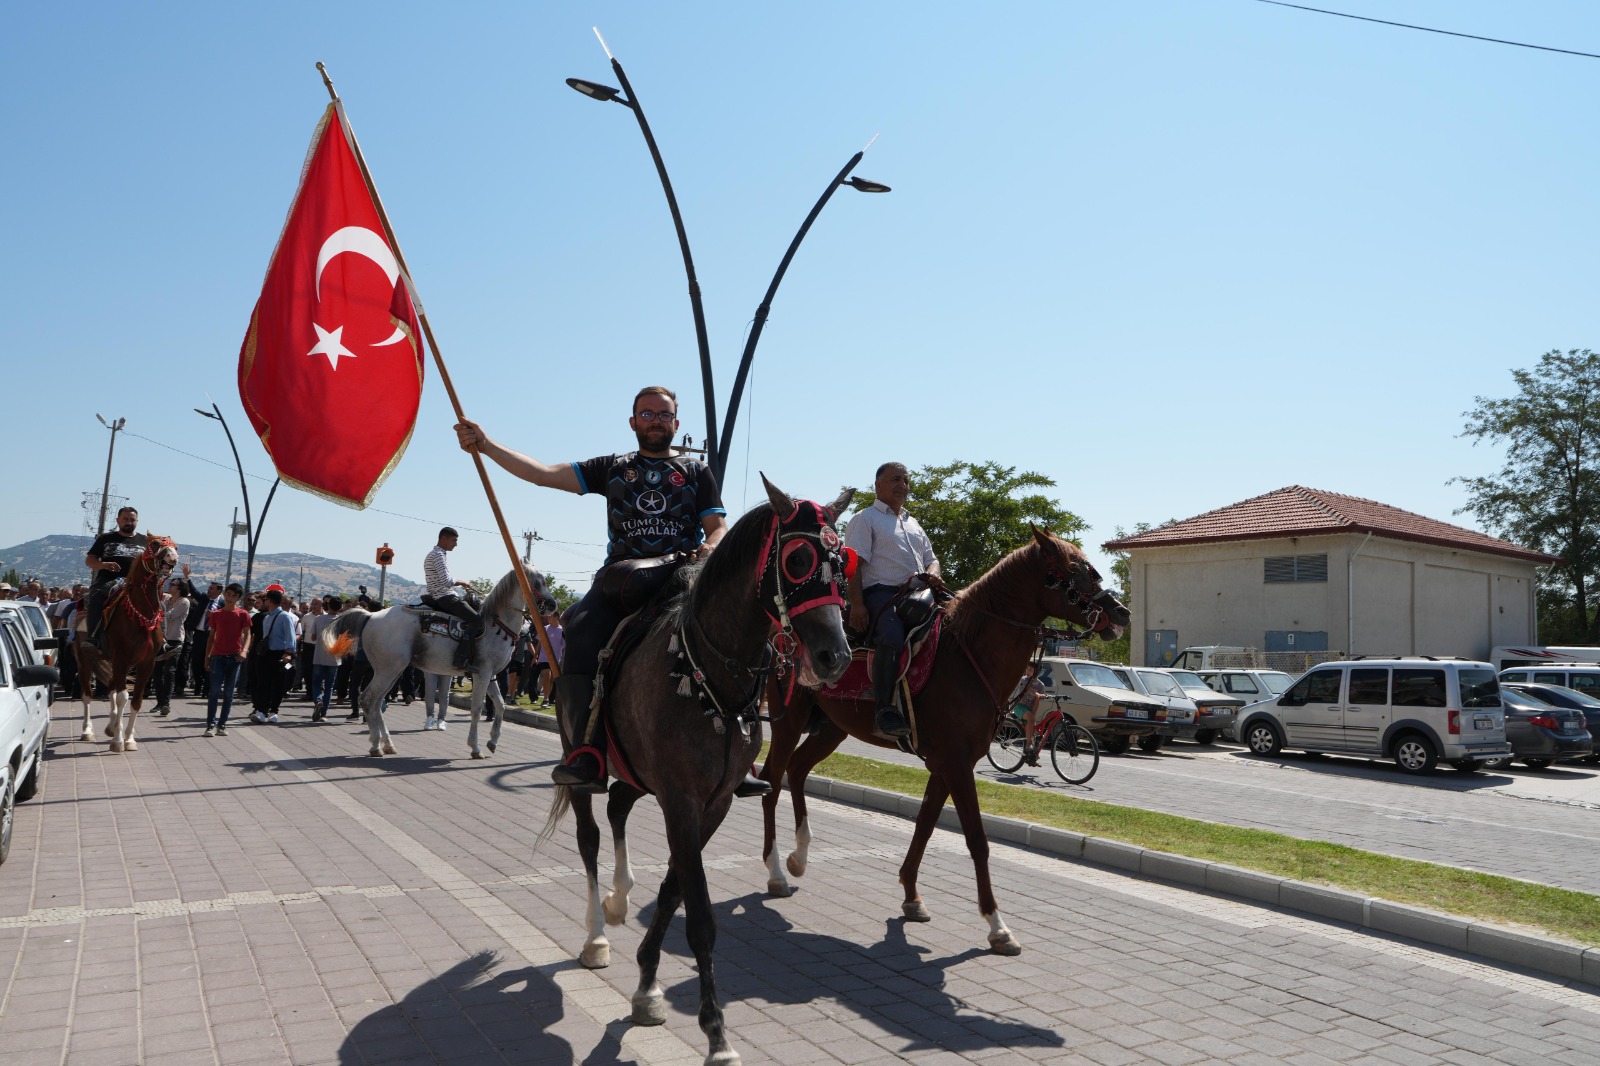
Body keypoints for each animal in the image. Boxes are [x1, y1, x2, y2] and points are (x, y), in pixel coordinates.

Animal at [75, 534, 177, 752]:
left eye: (176, 546)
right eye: (155, 544)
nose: (172, 557)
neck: (140, 615)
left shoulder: (146, 663)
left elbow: (136, 700)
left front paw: (128, 738)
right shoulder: (121, 658)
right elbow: (123, 697)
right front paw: (118, 741)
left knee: (111, 688)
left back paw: (111, 726)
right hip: (85, 659)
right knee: (87, 694)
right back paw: (88, 731)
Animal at [315, 563, 547, 755]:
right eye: (538, 582)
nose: (552, 605)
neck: (495, 626)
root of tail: (371, 616)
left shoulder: (490, 676)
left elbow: (500, 705)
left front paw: (493, 742)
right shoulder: (482, 674)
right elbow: (476, 709)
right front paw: (475, 747)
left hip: (392, 671)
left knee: (376, 702)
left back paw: (387, 744)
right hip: (388, 670)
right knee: (368, 699)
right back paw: (376, 746)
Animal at [537, 480, 857, 1062]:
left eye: (842, 563)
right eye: (798, 559)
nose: (834, 657)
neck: (710, 674)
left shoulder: (714, 803)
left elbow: (672, 892)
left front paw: (646, 987)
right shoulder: (682, 801)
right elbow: (702, 917)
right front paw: (716, 1035)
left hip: (639, 776)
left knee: (619, 807)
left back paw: (619, 896)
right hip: (583, 761)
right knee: (590, 834)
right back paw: (596, 934)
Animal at [758, 528, 1126, 947]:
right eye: (1075, 571)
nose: (1121, 613)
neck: (967, 655)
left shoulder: (945, 764)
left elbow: (925, 825)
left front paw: (912, 897)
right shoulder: (956, 763)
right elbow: (977, 839)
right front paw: (997, 925)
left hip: (832, 728)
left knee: (797, 770)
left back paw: (799, 858)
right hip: (789, 720)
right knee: (772, 781)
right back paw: (776, 872)